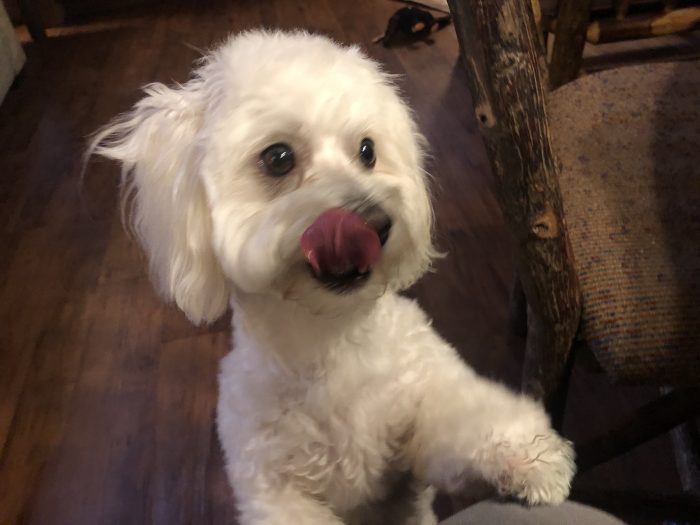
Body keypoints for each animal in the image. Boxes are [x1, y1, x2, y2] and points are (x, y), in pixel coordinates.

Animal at [93, 31, 576, 524]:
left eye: (367, 150)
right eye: (278, 158)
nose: (375, 224)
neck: (329, 334)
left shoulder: (418, 409)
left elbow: (460, 417)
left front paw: (530, 457)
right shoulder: (272, 486)